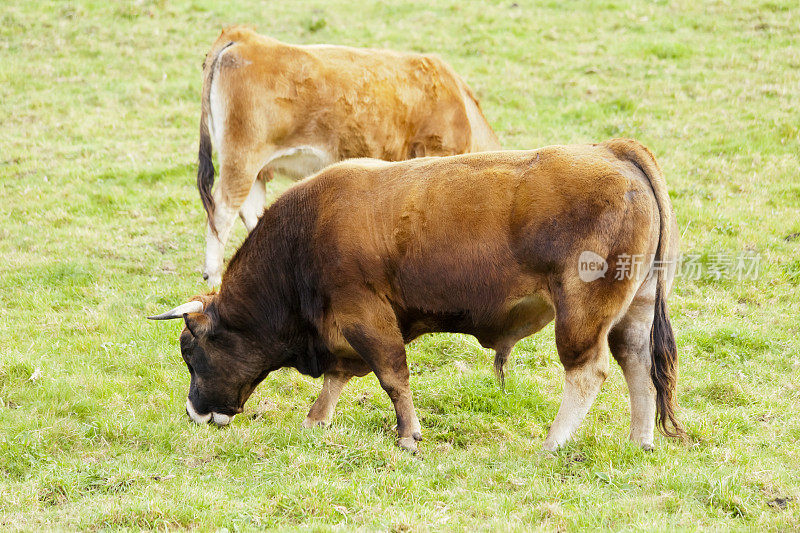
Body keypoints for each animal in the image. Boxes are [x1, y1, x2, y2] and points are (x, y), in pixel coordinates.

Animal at [152, 139, 688, 450]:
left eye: (190, 352)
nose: (194, 411)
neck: (303, 235)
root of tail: (612, 151)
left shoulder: (367, 317)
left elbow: (391, 375)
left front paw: (408, 434)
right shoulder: (348, 329)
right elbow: (340, 376)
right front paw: (315, 422)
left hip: (582, 313)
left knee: (589, 370)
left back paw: (554, 442)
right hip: (635, 308)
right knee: (637, 362)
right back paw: (639, 440)